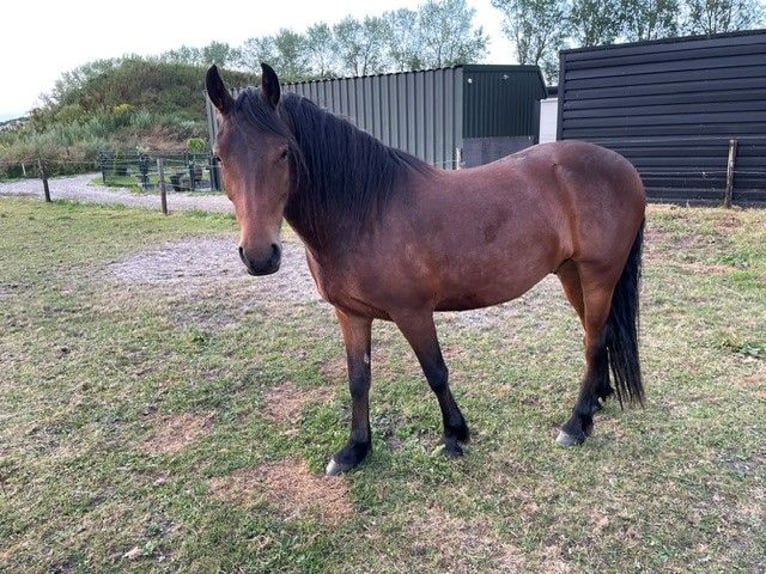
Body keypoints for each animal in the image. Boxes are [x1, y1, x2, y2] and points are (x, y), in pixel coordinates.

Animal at [206, 63, 646, 476]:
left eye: (283, 152)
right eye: (220, 157)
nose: (260, 256)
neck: (365, 211)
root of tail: (625, 168)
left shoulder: (413, 312)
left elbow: (435, 371)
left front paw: (454, 435)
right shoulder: (350, 314)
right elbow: (358, 379)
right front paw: (355, 450)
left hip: (598, 275)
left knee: (593, 341)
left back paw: (576, 424)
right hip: (573, 274)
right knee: (599, 333)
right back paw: (597, 401)